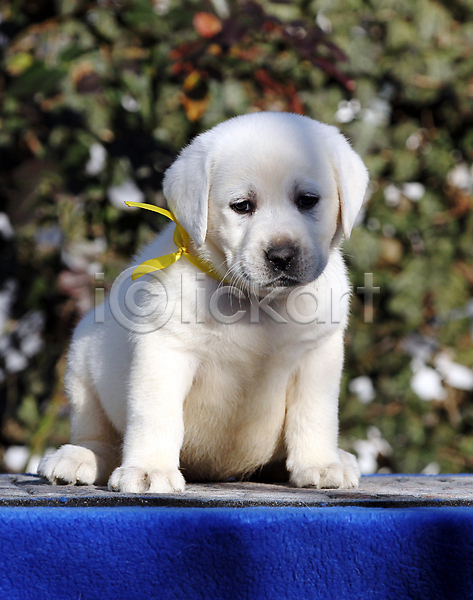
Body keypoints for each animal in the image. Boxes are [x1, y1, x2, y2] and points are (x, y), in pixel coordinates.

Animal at [38, 112, 366, 492]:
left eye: (308, 200)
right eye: (242, 206)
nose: (282, 255)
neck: (256, 305)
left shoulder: (316, 355)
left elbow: (315, 414)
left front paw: (320, 464)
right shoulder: (164, 351)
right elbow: (156, 414)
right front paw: (149, 469)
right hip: (81, 365)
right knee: (98, 437)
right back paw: (80, 458)